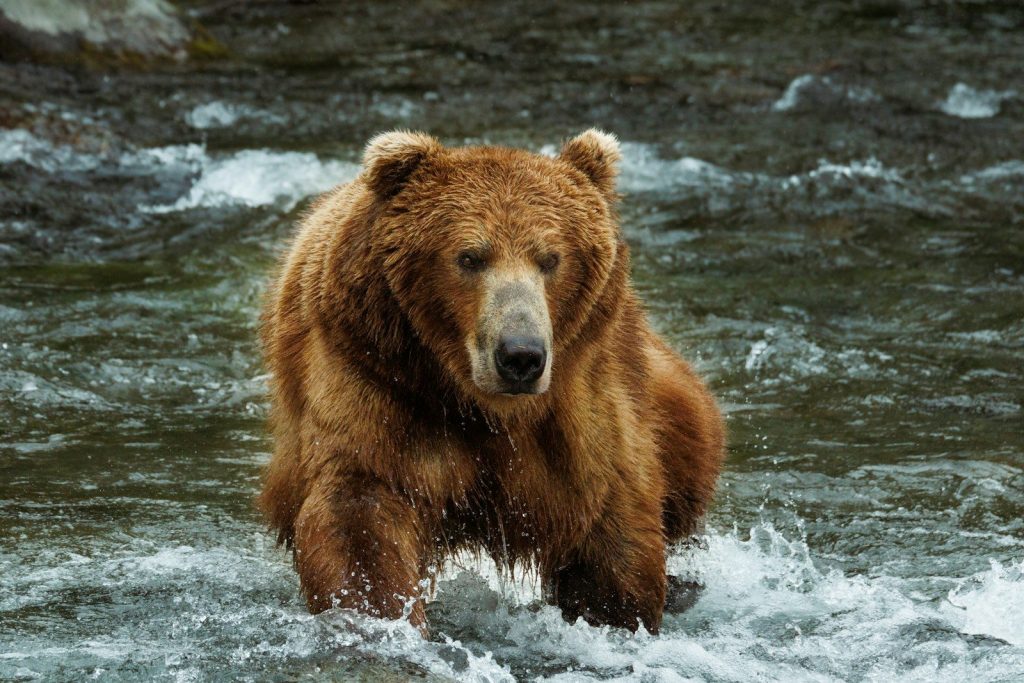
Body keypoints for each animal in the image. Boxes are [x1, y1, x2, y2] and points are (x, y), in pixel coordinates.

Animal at [258, 129, 725, 635]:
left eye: (551, 258)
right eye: (470, 256)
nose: (521, 356)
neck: (477, 402)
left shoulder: (581, 405)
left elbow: (609, 521)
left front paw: (615, 612)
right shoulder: (375, 377)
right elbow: (361, 512)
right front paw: (378, 615)